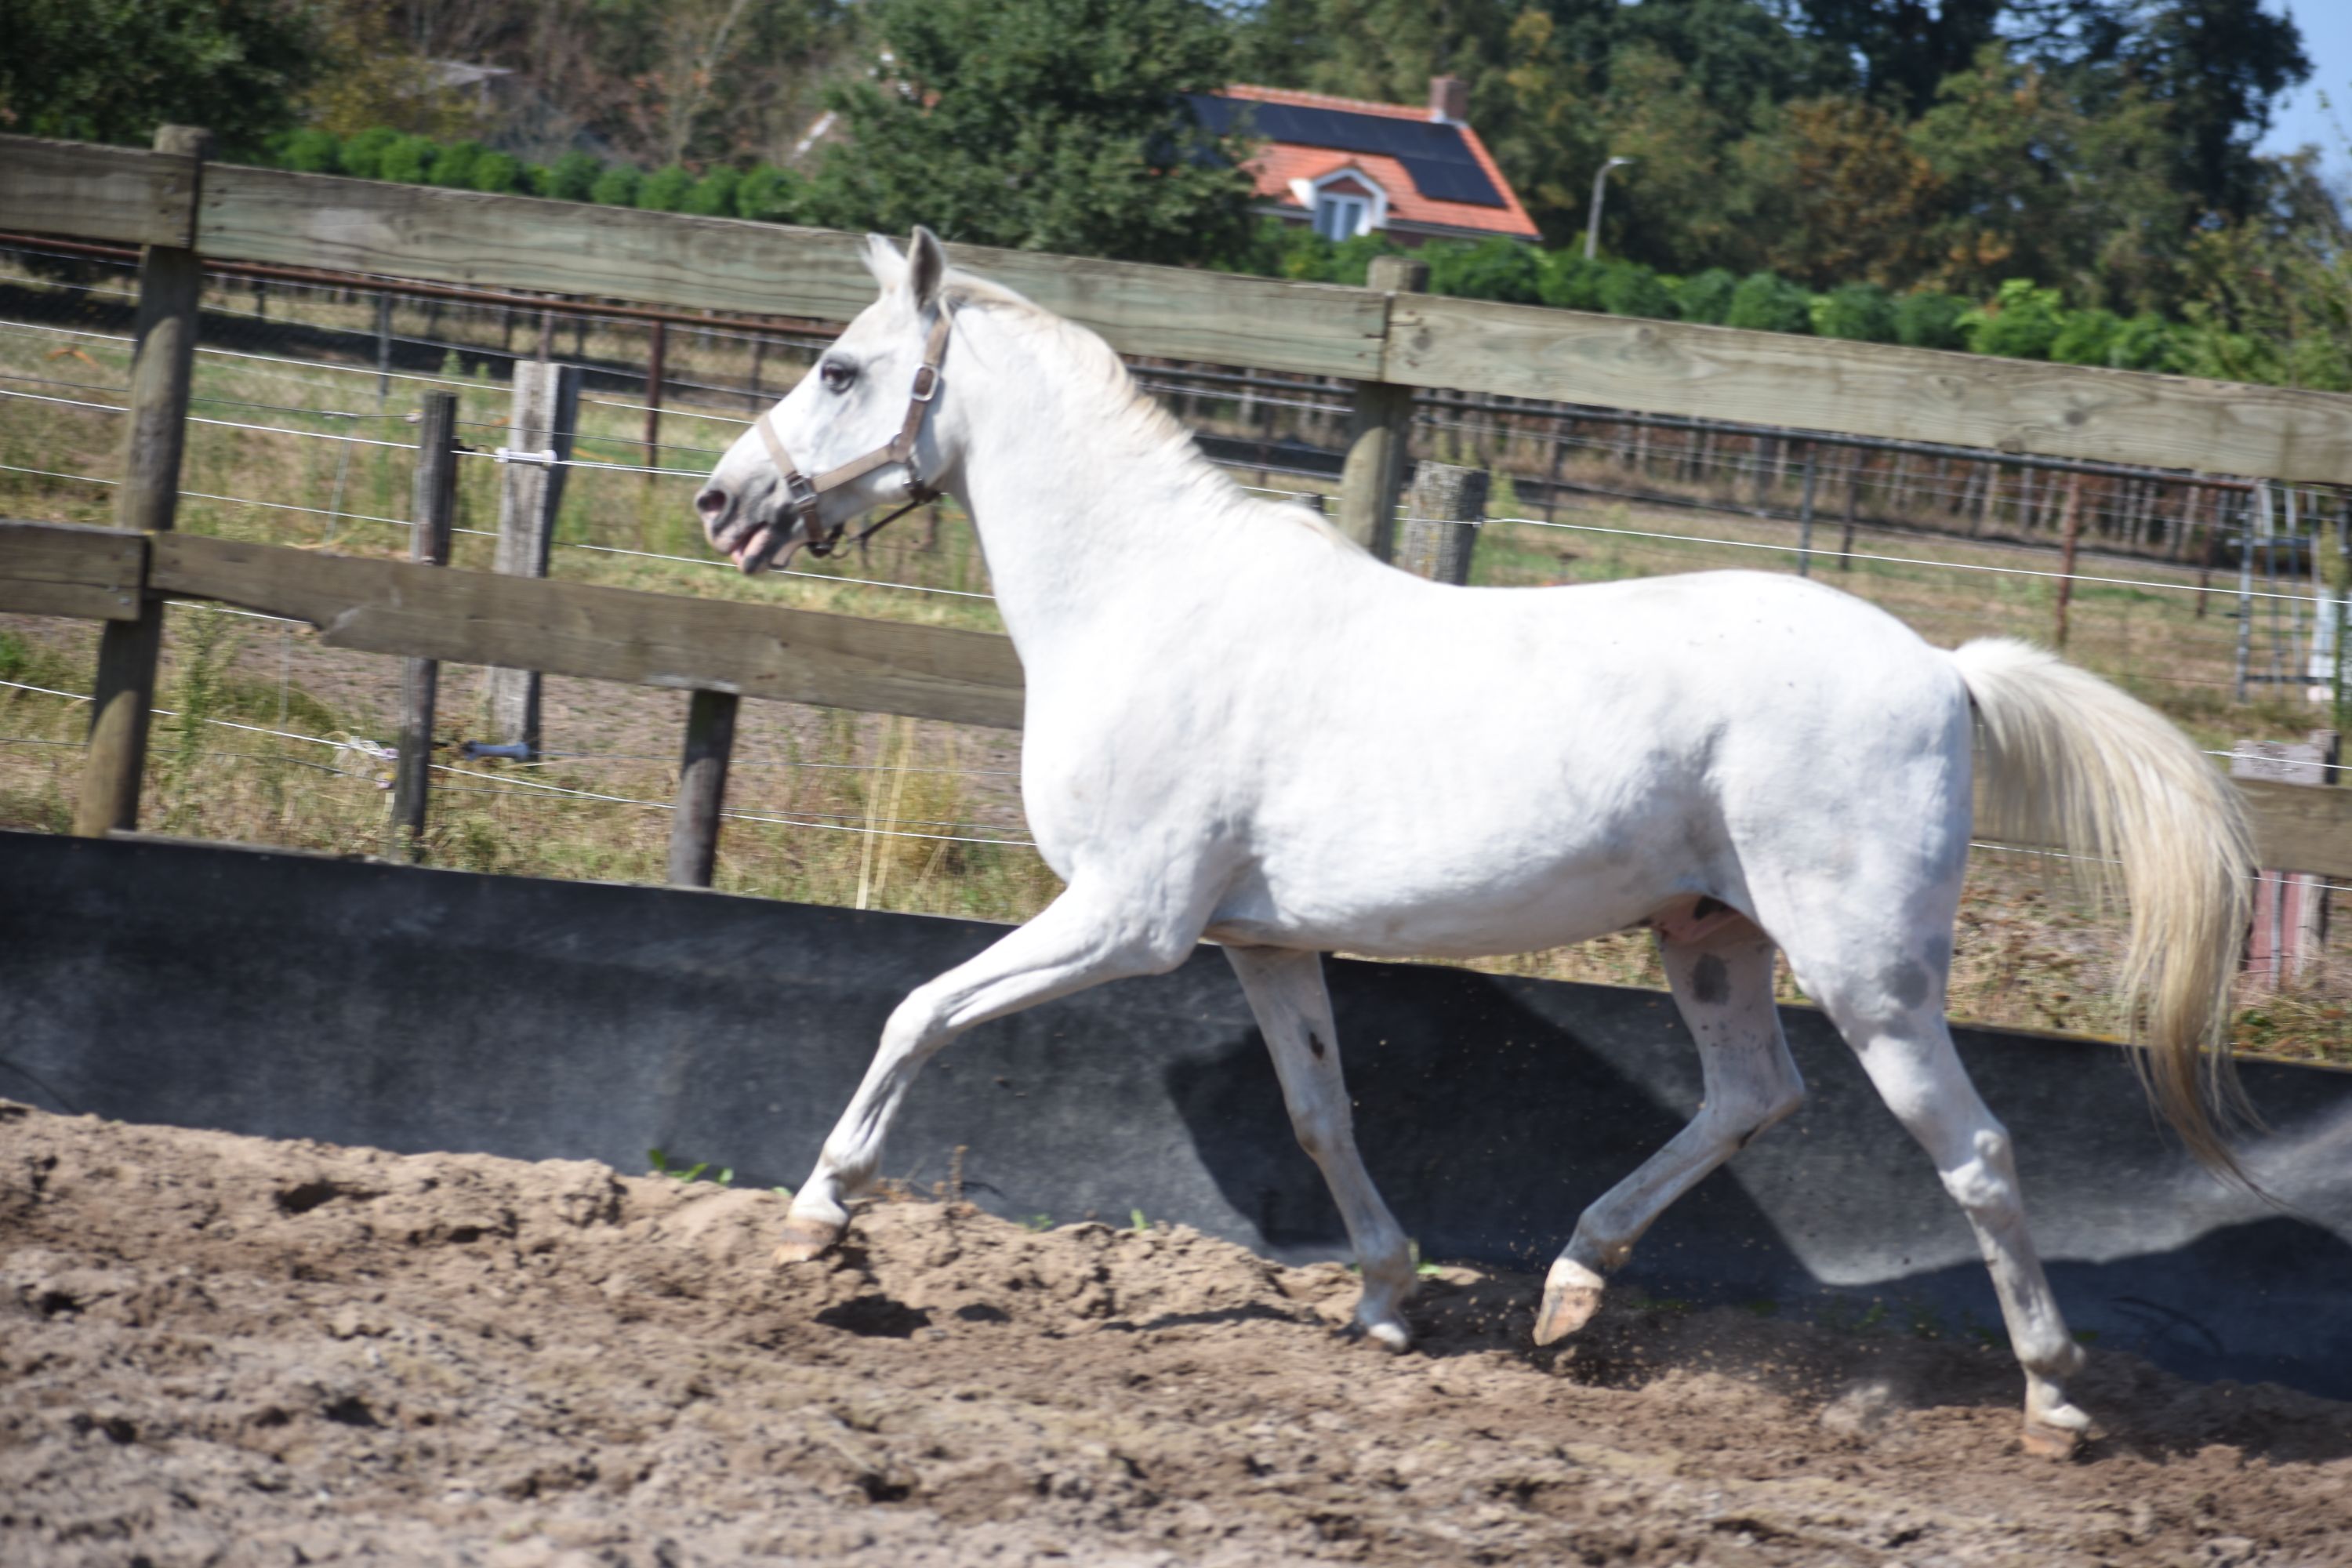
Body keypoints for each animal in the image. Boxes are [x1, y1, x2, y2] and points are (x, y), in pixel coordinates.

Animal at [694, 229, 2253, 1457]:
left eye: (839, 370)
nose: (722, 502)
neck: (1146, 601)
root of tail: (1944, 668)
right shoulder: (1257, 942)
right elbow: (1321, 1113)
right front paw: (1386, 1301)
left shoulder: (1127, 920)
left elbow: (919, 1009)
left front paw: (821, 1216)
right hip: (1712, 937)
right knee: (1751, 1097)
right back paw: (1570, 1291)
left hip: (1871, 974)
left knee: (1974, 1150)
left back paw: (2056, 1401)